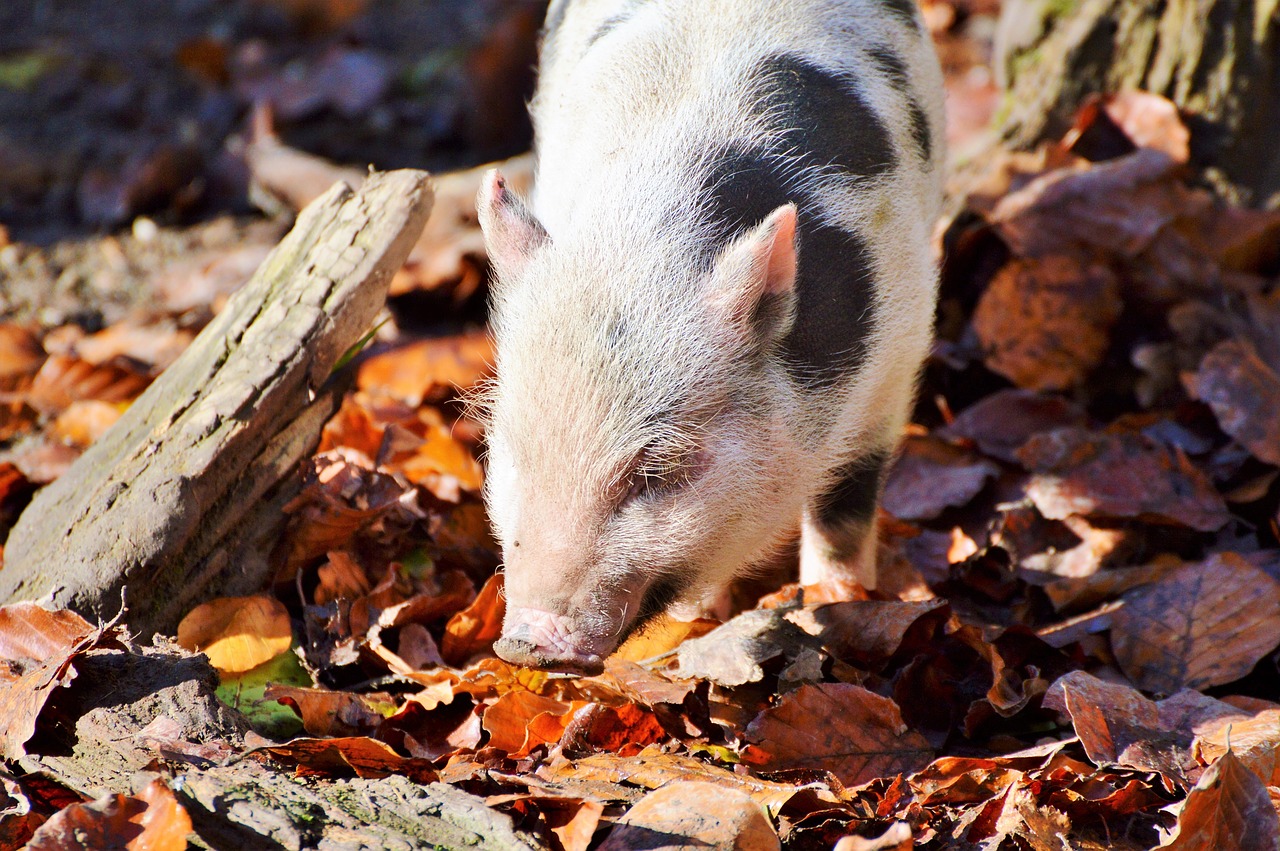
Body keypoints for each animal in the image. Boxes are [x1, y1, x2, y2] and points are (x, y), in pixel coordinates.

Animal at [476, 0, 947, 670]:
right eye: (515, 452)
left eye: (654, 473)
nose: (524, 641)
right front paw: (694, 630)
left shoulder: (900, 347)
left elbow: (844, 507)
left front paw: (836, 602)